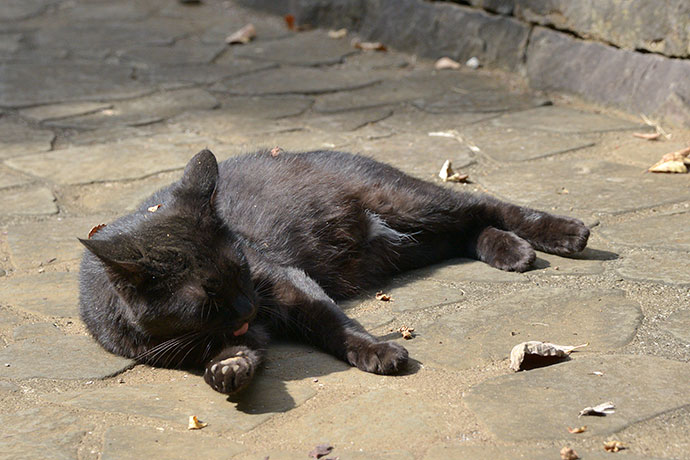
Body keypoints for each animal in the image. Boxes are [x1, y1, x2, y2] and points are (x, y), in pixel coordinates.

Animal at [79, 149, 584, 394]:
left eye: (241, 264)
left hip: (408, 203)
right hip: (412, 242)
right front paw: (228, 369)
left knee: (483, 203)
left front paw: (378, 352)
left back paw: (563, 233)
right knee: (468, 230)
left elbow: (331, 323)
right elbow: (235, 352)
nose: (248, 306)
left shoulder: (284, 281)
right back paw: (508, 249)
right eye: (208, 297)